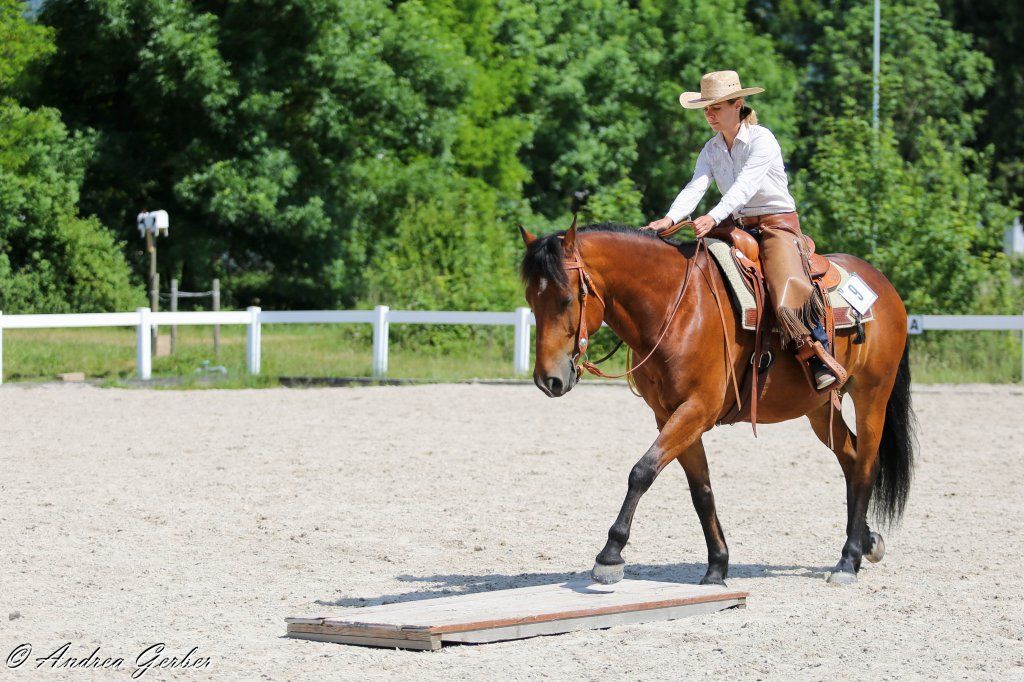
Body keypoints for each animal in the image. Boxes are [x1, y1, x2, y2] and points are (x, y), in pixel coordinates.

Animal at [518, 219, 916, 586]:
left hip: (871, 395)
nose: (548, 380)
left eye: (567, 300)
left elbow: (642, 472)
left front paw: (610, 555)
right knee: (850, 458)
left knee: (866, 465)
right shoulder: (670, 416)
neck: (677, 308)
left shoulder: (696, 410)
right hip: (819, 408)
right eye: (531, 302)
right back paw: (866, 544)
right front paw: (716, 566)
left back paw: (848, 560)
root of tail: (884, 287)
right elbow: (701, 491)